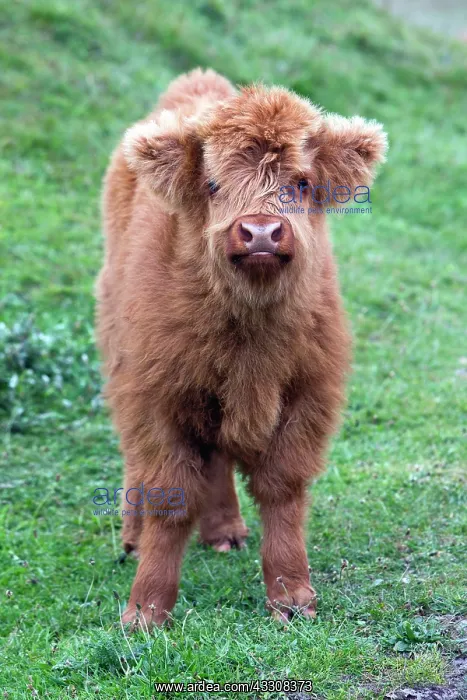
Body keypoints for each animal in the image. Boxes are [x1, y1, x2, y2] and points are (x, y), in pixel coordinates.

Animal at [95, 68, 387, 627]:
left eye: (301, 182)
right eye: (213, 184)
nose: (261, 233)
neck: (250, 338)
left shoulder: (307, 396)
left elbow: (281, 490)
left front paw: (292, 597)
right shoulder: (158, 398)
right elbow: (170, 497)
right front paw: (145, 611)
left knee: (217, 461)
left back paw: (225, 530)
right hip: (121, 358)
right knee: (140, 461)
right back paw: (133, 536)